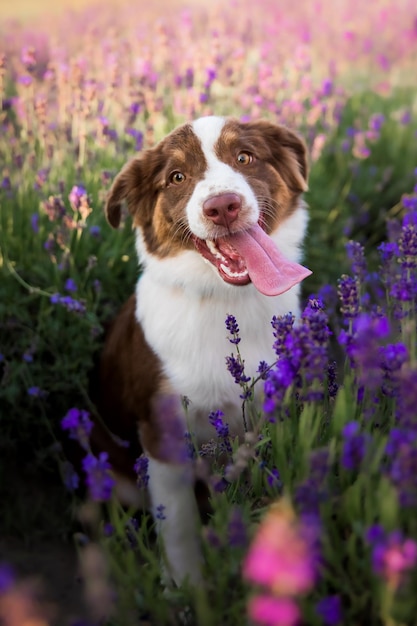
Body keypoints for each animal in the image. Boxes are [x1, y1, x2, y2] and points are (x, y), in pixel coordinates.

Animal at [96, 116, 310, 584]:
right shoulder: (162, 435)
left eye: (244, 157)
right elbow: (177, 524)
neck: (225, 300)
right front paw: (186, 587)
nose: (223, 206)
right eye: (177, 177)